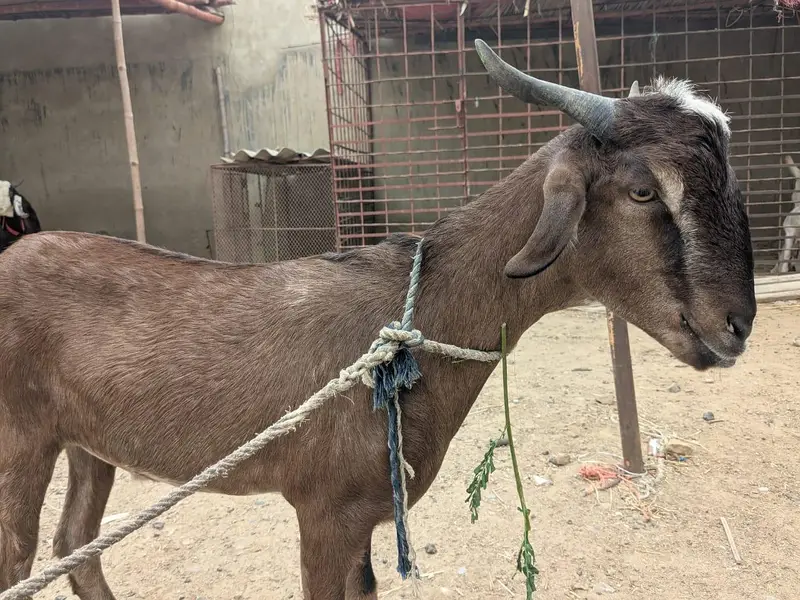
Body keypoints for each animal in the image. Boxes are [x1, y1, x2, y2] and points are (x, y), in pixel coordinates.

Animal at [0, 40, 755, 600]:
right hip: (20, 441)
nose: (736, 325)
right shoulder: (323, 511)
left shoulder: (365, 515)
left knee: (75, 547)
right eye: (643, 190)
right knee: (22, 559)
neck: (412, 315)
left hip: (88, 444)